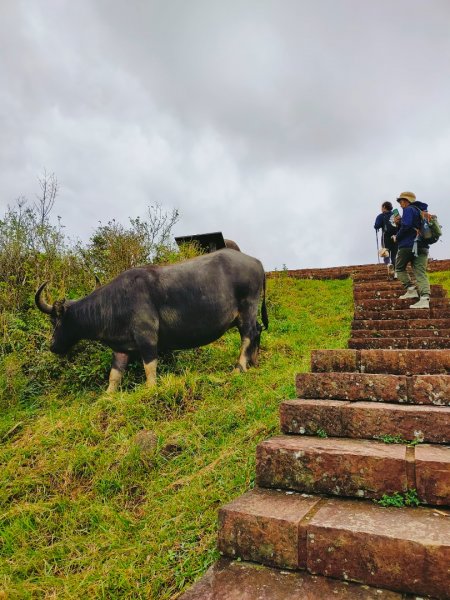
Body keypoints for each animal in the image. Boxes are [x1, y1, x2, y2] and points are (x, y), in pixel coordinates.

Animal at [36, 247, 268, 392]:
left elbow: (150, 366)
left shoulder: (146, 336)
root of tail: (256, 262)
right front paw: (107, 396)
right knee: (256, 331)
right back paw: (254, 362)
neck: (115, 301)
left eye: (54, 321)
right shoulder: (120, 348)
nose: (52, 346)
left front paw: (150, 388)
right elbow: (114, 375)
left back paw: (239, 367)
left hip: (248, 307)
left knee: (248, 334)